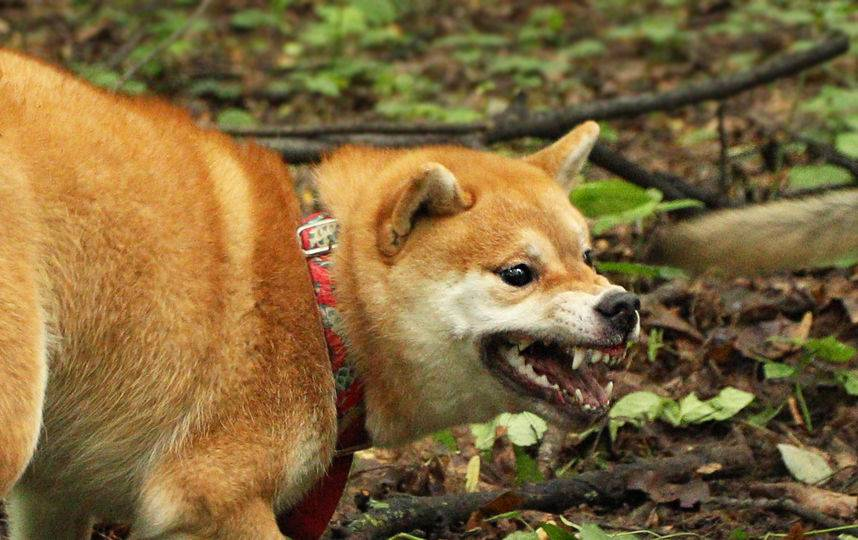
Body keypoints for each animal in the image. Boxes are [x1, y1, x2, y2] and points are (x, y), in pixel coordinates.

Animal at [0, 48, 640, 536]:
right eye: (518, 273)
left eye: (587, 256)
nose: (624, 306)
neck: (325, 308)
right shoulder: (212, 498)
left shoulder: (54, 494)